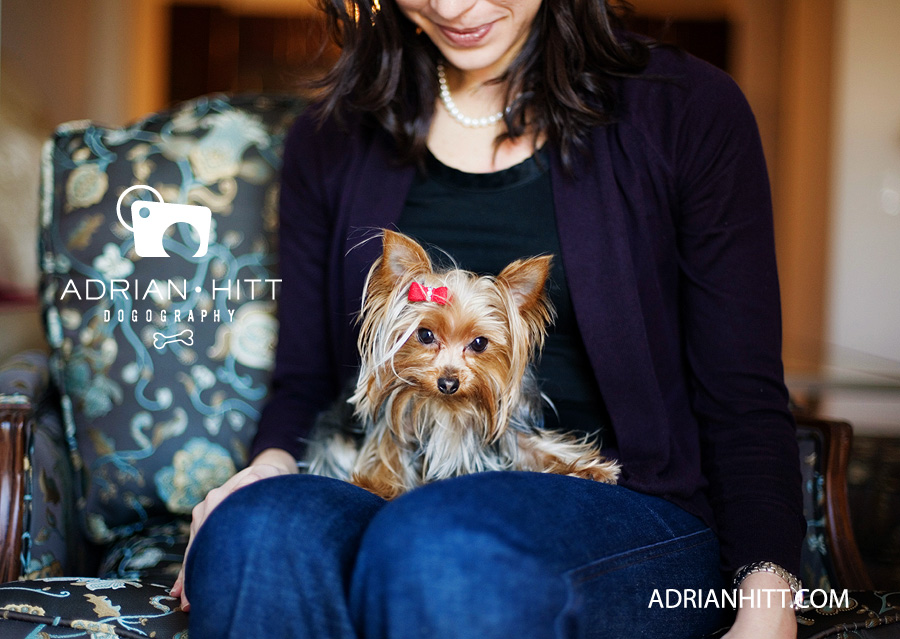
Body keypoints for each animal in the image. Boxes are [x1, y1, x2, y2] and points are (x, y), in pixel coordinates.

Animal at [304, 230, 620, 500]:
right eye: (425, 335)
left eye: (479, 343)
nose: (448, 383)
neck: (449, 407)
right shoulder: (393, 426)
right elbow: (386, 455)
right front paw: (378, 485)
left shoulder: (510, 433)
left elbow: (538, 450)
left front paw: (590, 469)